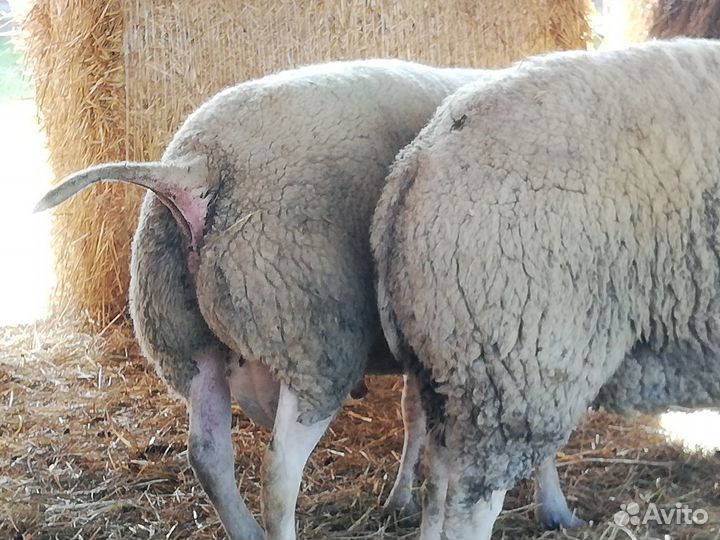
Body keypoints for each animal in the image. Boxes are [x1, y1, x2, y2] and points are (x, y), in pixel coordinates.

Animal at [35, 59, 497, 540]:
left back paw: (245, 528)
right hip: (309, 340)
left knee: (207, 453)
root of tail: (197, 167)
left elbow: (414, 414)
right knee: (278, 473)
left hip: (182, 337)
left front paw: (401, 496)